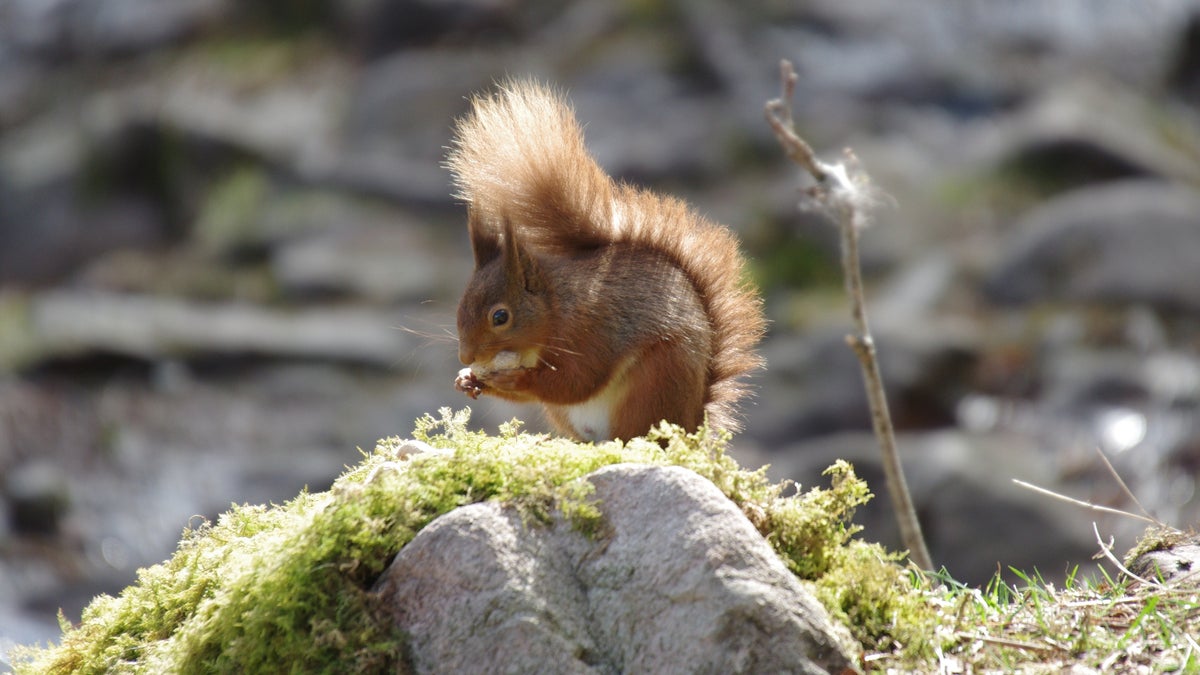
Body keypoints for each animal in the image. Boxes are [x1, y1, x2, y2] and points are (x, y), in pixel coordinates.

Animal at [449, 80, 765, 442]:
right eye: (460, 306)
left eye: (500, 317)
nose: (466, 356)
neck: (555, 307)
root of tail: (693, 425)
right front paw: (467, 379)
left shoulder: (593, 330)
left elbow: (576, 381)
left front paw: (515, 378)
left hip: (656, 380)